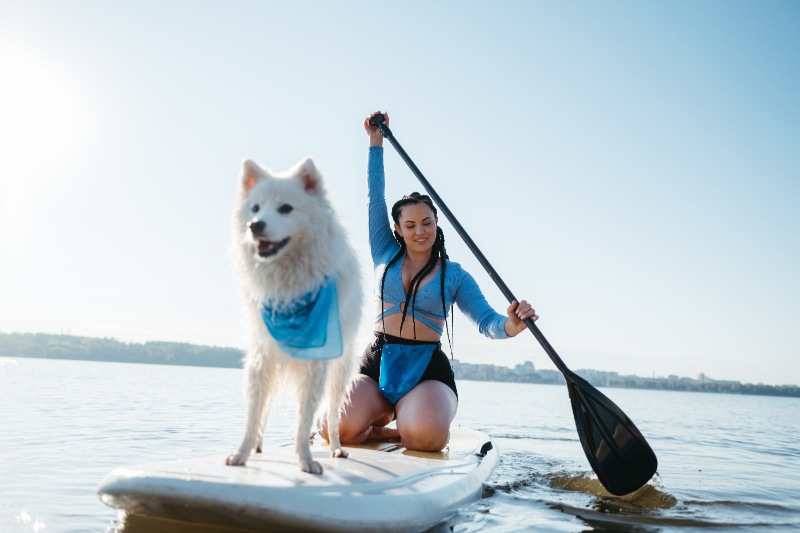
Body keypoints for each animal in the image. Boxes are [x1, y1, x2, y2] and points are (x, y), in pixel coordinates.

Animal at [225, 156, 362, 472]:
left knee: (333, 415)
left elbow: (305, 418)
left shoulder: (316, 364)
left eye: (286, 208)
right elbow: (254, 412)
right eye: (255, 208)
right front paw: (242, 452)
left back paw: (337, 449)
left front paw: (306, 460)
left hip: (340, 370)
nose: (255, 225)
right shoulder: (262, 354)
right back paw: (258, 444)